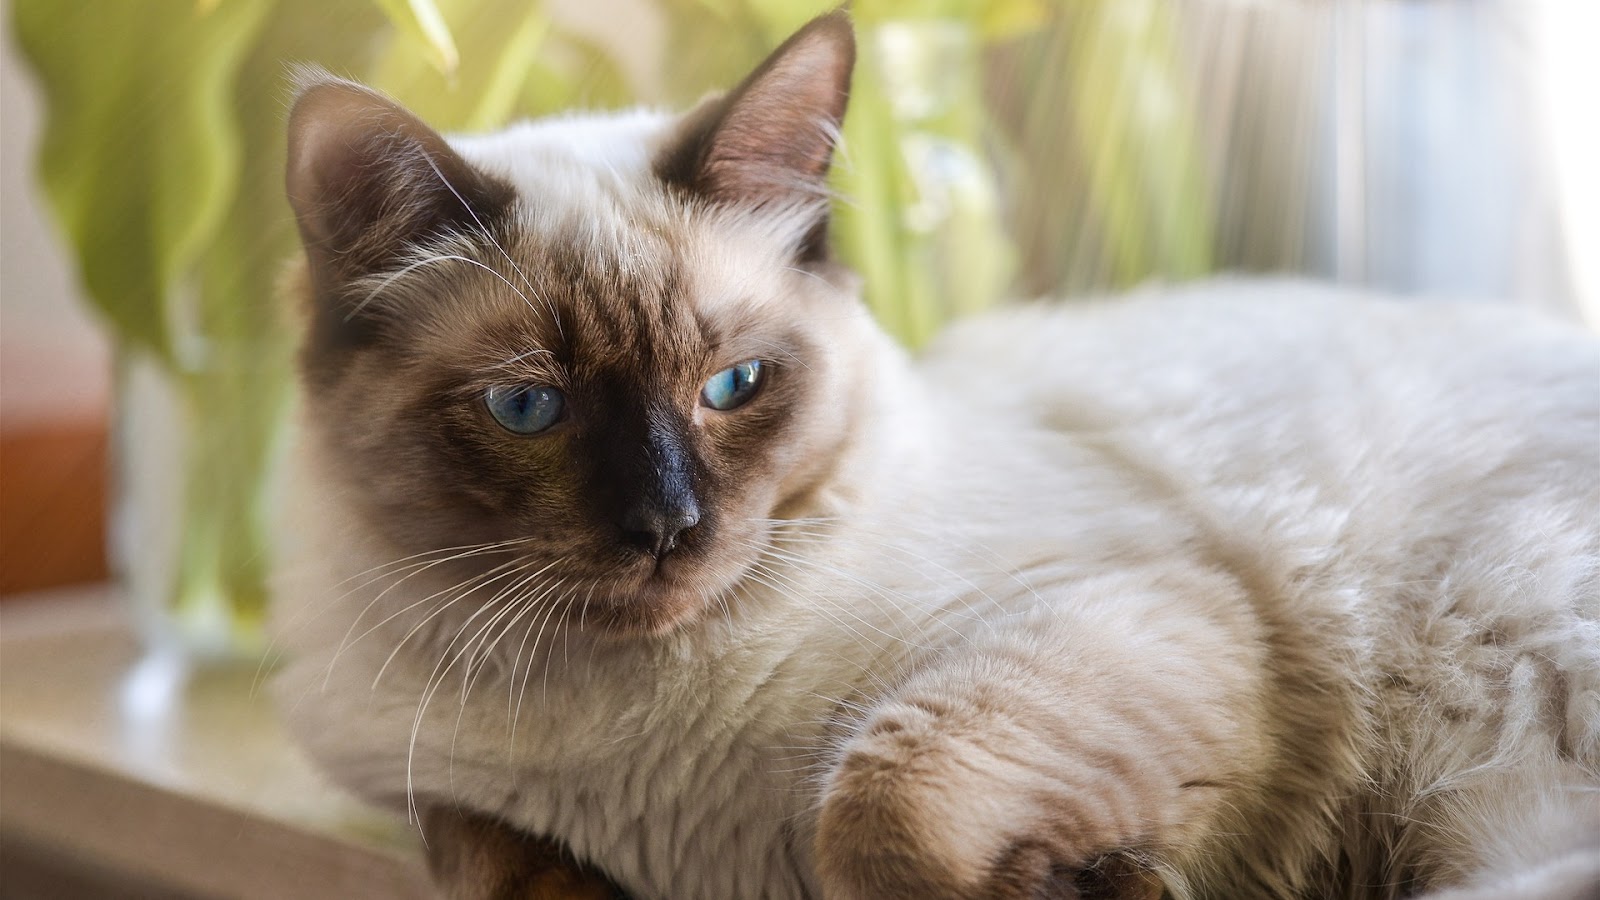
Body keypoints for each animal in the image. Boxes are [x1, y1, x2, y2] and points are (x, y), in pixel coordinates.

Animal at [272, 8, 1600, 896]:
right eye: (528, 411)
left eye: (732, 387)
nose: (668, 530)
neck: (623, 728)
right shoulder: (435, 797)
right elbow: (499, 861)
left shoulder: (1126, 611)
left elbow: (872, 811)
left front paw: (1093, 880)